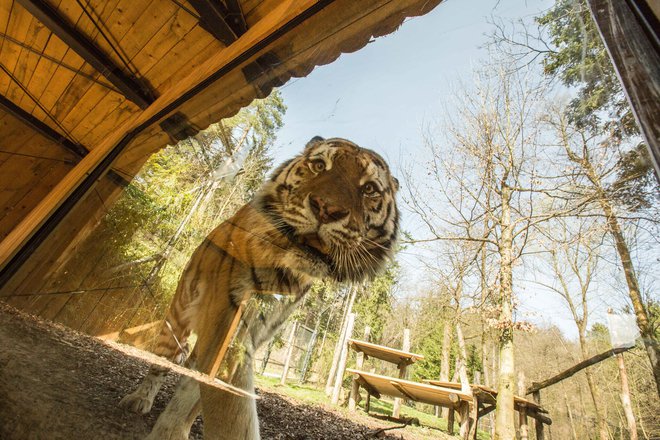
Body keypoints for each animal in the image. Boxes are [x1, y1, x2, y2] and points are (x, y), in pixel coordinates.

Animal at [120, 136, 400, 438]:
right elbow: (230, 410)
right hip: (177, 317)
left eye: (369, 189)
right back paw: (140, 398)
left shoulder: (257, 330)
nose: (326, 208)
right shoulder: (228, 319)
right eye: (318, 165)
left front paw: (173, 427)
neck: (288, 272)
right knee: (161, 360)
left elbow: (198, 392)